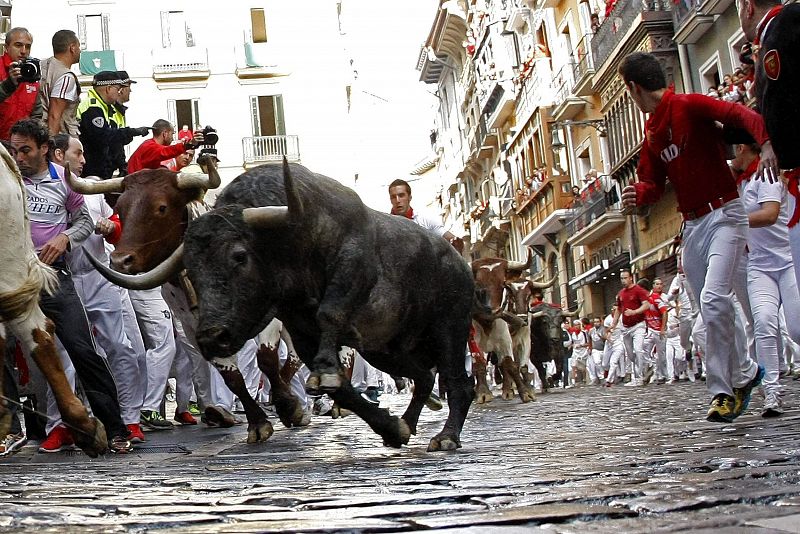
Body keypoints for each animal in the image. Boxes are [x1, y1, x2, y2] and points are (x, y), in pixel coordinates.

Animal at [181, 162, 476, 452]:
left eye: (240, 256)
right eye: (191, 271)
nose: (211, 337)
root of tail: (458, 261)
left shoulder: (353, 267)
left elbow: (330, 313)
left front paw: (324, 372)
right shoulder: (301, 334)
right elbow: (343, 390)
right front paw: (392, 429)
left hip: (450, 329)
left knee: (460, 383)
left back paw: (447, 436)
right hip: (385, 350)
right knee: (424, 376)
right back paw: (408, 423)